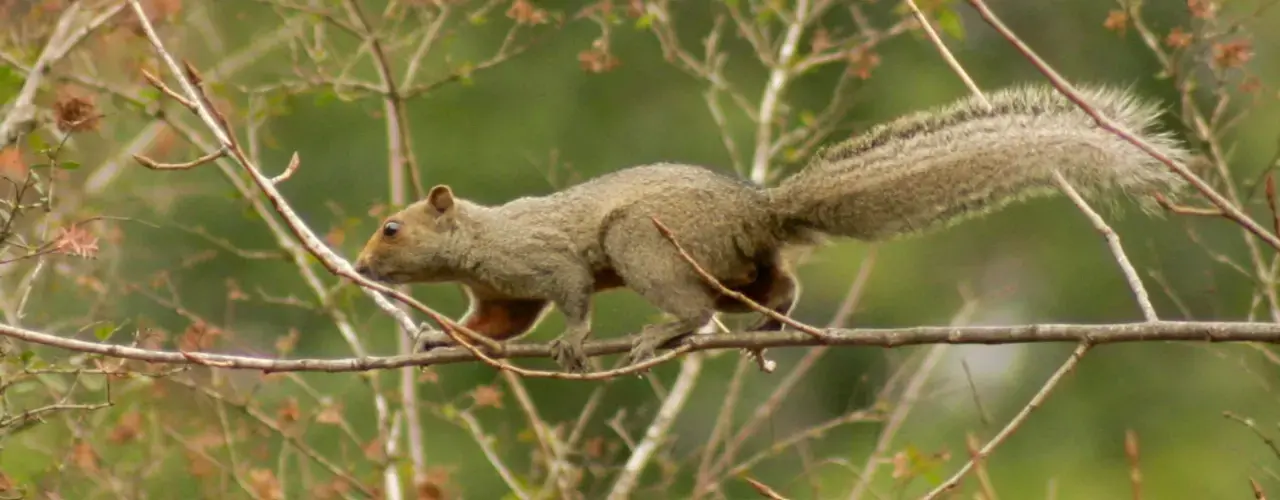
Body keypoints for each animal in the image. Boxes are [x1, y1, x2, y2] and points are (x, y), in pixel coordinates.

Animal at [353, 84, 1190, 373]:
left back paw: (663, 333)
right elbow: (494, 327)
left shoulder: (541, 259)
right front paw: (437, 342)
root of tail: (759, 210)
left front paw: (574, 339)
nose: (361, 265)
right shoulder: (501, 295)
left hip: (645, 244)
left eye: (392, 228)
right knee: (771, 281)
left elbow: (569, 294)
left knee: (693, 308)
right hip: (735, 266)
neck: (478, 242)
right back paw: (771, 322)